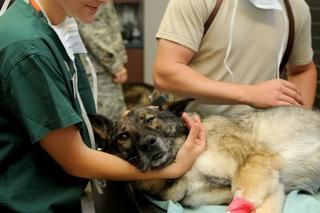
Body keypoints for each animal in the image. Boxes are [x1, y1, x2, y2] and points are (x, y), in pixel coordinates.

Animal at [89, 99, 320, 212]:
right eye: (123, 136)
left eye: (149, 120)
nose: (147, 143)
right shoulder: (270, 186)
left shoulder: (252, 162)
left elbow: (243, 196)